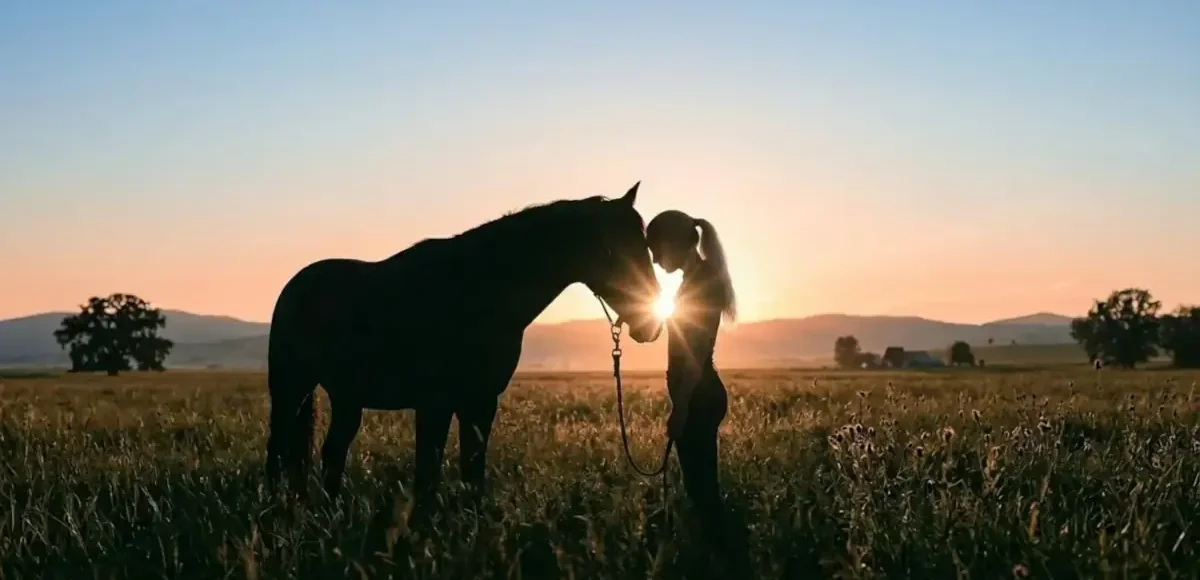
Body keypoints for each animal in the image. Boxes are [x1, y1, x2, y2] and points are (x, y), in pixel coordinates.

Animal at [264, 182, 663, 517]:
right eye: (611, 250)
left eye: (645, 246)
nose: (651, 324)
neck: (476, 290)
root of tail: (295, 286)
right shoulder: (435, 403)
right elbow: (428, 471)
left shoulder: (481, 401)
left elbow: (472, 469)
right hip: (290, 388)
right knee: (279, 447)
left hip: (347, 396)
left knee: (332, 451)